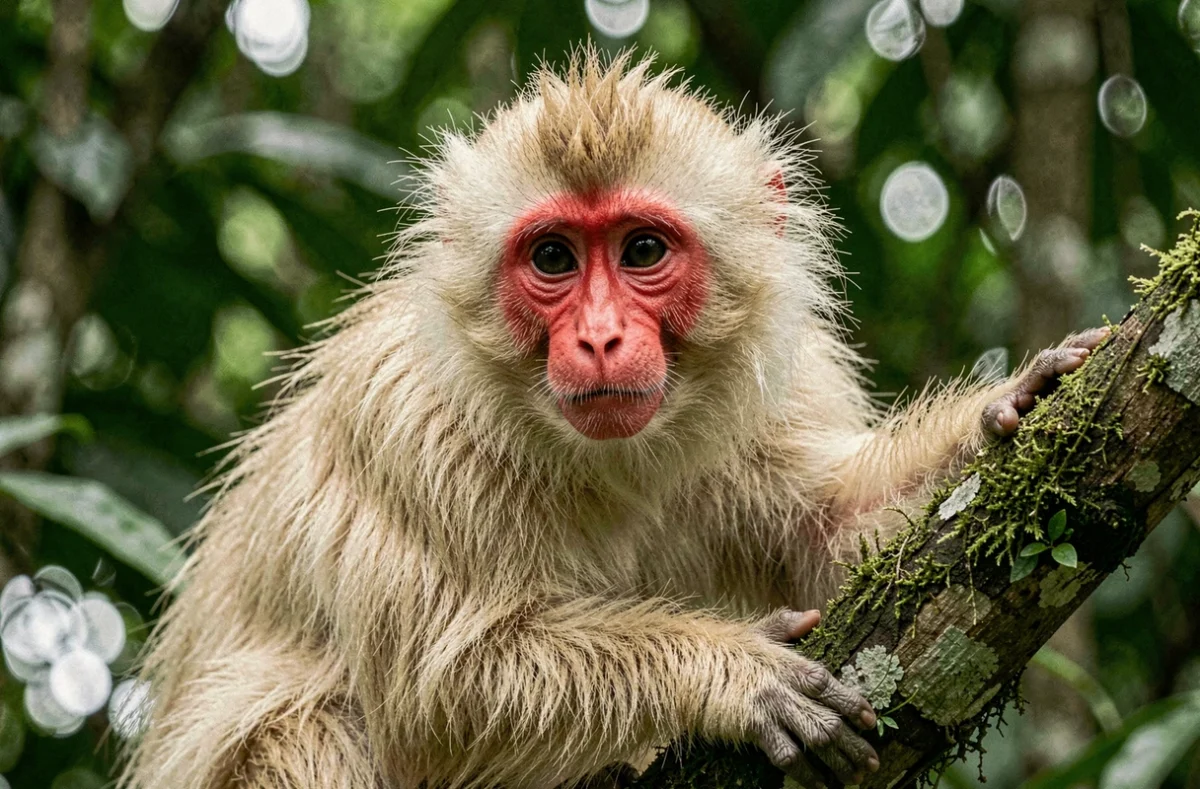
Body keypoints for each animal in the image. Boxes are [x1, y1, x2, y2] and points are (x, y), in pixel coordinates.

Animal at [119, 49, 1107, 789]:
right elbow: (439, 694)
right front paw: (731, 676)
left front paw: (1007, 412)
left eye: (641, 250)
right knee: (312, 732)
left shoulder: (781, 385)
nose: (598, 337)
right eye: (554, 258)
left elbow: (841, 544)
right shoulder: (407, 422)